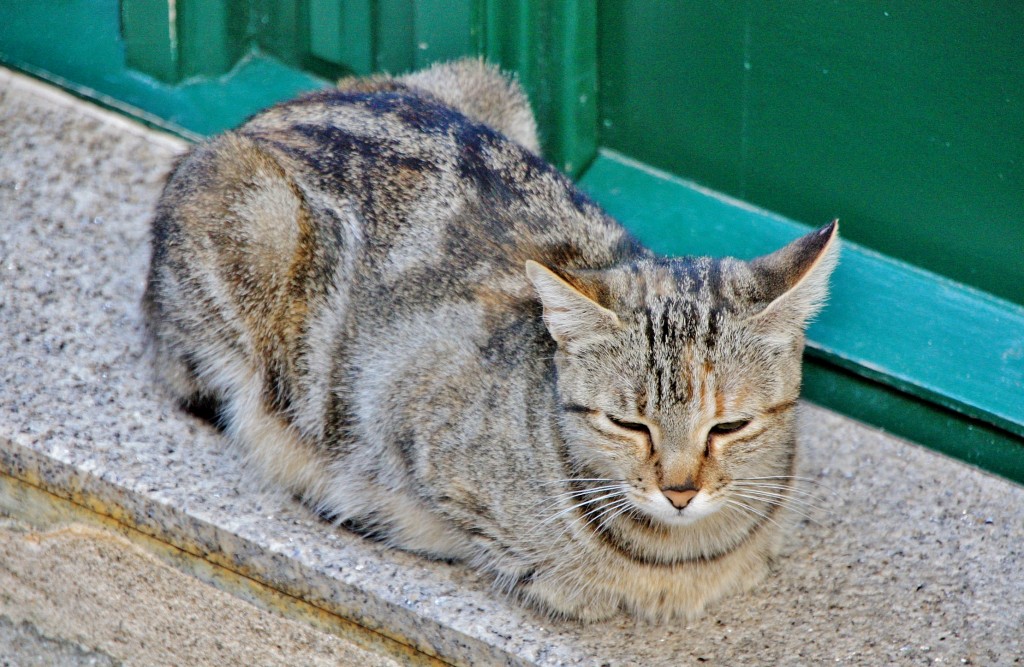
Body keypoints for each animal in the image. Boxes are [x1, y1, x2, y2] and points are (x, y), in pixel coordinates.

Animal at [148, 59, 843, 622]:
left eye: (728, 427)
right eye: (628, 425)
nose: (679, 492)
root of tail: (262, 117)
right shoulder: (398, 414)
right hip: (252, 217)